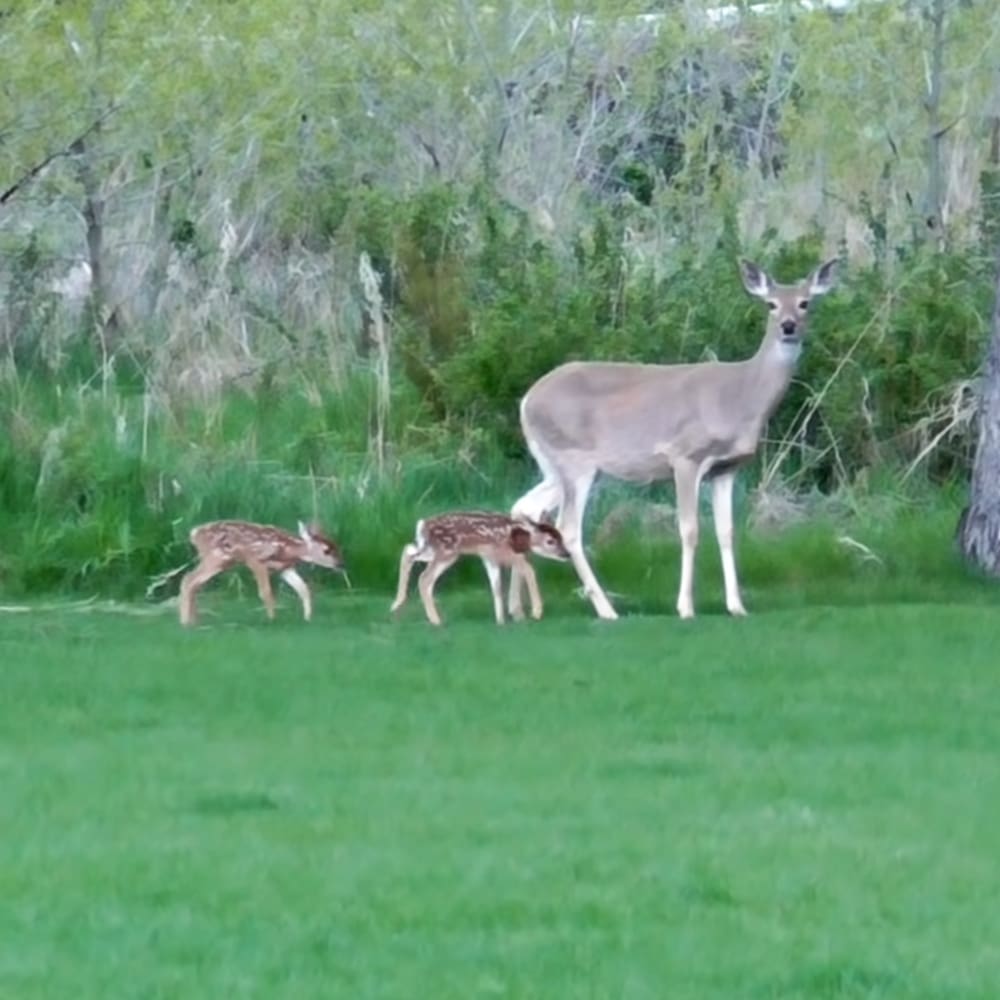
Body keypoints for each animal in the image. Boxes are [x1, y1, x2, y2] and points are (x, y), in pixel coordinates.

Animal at [178, 519, 347, 626]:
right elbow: (266, 592)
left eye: (336, 546)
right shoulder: (256, 560)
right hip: (216, 557)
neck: (286, 549)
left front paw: (308, 618)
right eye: (326, 550)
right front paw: (272, 620)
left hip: (221, 561)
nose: (341, 564)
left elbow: (303, 590)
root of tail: (194, 534)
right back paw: (185, 622)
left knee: (194, 583)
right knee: (188, 579)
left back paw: (194, 621)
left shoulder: (285, 568)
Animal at [390, 511, 570, 626]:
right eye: (550, 541)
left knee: (408, 551)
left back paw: (397, 604)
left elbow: (496, 586)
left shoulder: (489, 557)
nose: (566, 554)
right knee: (424, 578)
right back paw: (436, 621)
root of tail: (423, 525)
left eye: (561, 537)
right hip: (447, 552)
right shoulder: (502, 552)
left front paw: (500, 621)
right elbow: (528, 569)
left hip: (431, 550)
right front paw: (537, 612)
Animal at [509, 256, 839, 622]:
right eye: (771, 304)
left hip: (556, 466)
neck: (741, 397)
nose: (788, 326)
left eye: (805, 302)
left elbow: (726, 532)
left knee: (523, 507)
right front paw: (685, 607)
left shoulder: (726, 468)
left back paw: (517, 608)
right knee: (568, 528)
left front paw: (736, 606)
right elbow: (690, 530)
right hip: (574, 459)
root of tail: (526, 401)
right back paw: (606, 610)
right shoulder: (685, 456)